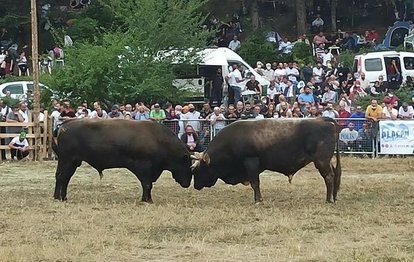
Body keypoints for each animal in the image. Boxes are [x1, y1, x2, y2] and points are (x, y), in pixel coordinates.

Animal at [52, 118, 192, 203]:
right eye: (188, 166)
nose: (187, 183)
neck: (159, 140)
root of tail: (64, 125)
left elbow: (148, 185)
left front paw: (148, 199)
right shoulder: (144, 168)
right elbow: (147, 184)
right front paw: (146, 200)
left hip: (72, 162)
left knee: (64, 178)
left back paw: (63, 197)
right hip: (67, 161)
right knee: (62, 177)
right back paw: (59, 198)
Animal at [192, 117, 342, 204]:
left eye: (198, 170)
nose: (195, 186)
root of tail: (323, 119)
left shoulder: (251, 162)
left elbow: (255, 183)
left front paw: (258, 200)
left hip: (321, 160)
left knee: (329, 176)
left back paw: (328, 200)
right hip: (326, 160)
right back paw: (333, 197)